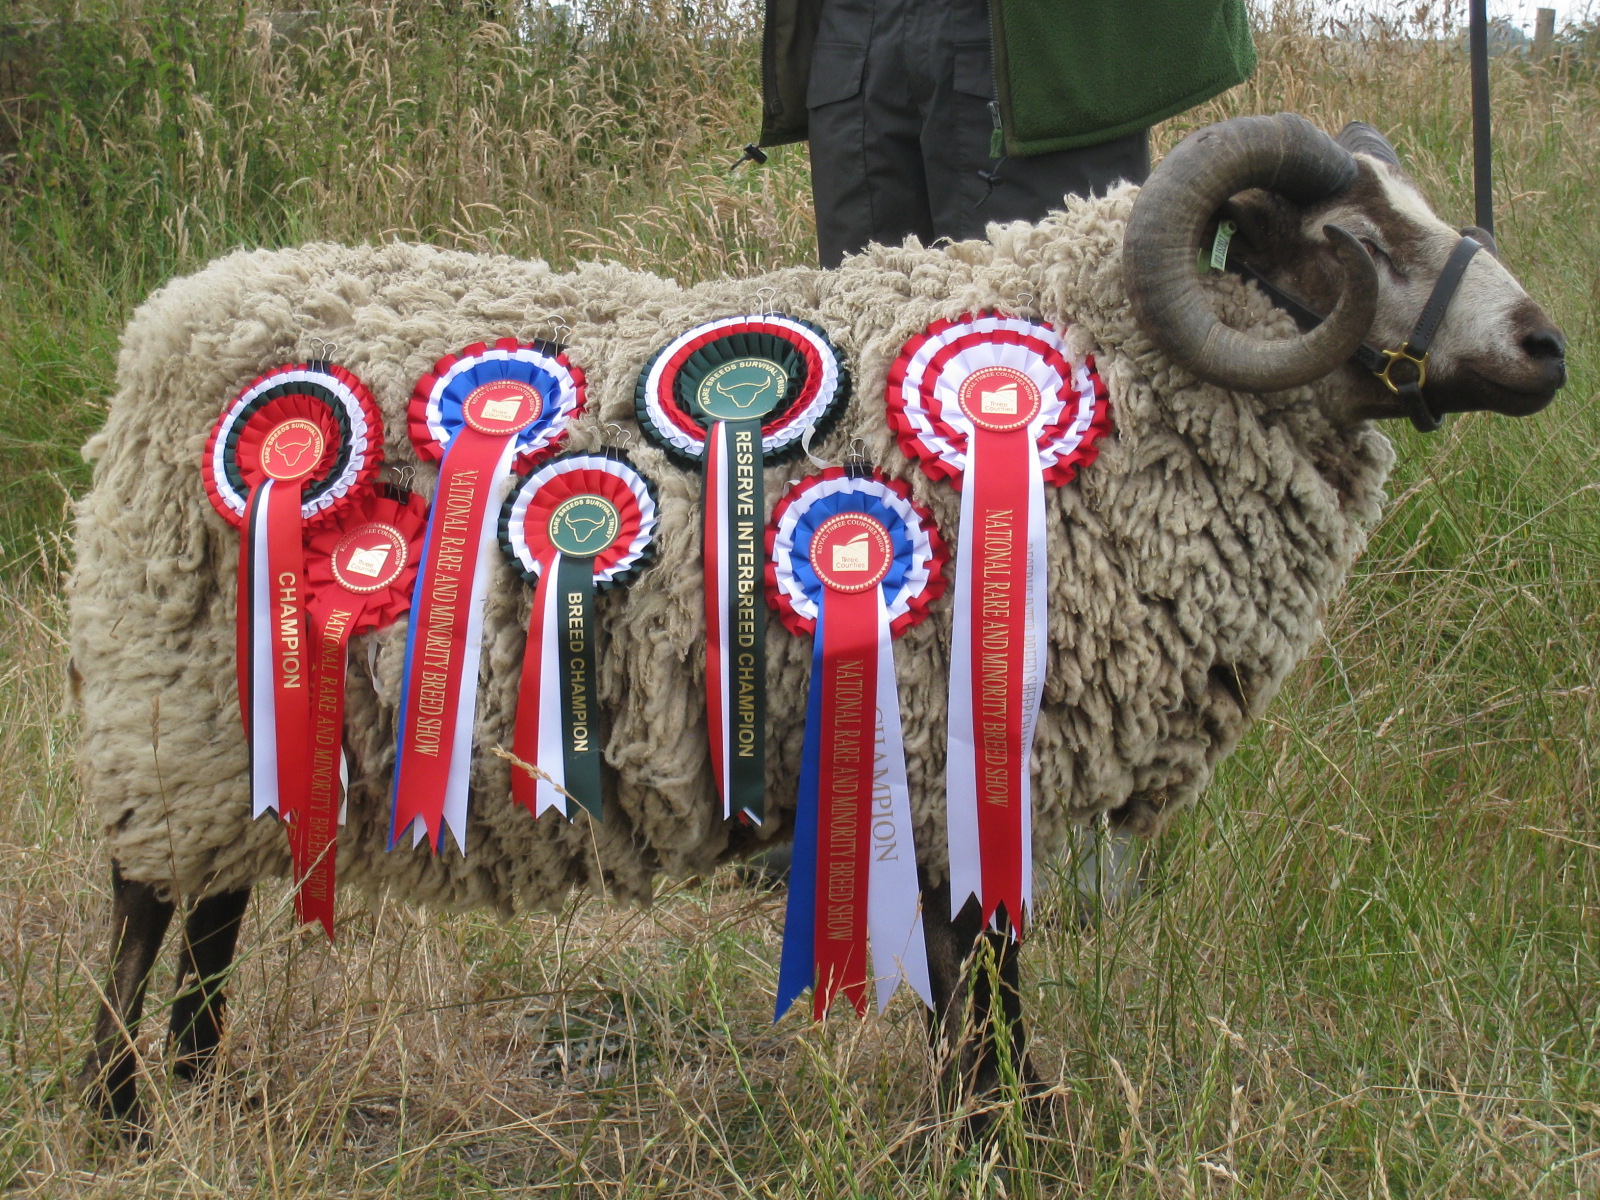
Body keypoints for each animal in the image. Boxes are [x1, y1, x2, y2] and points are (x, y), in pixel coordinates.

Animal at [75, 115, 1561, 1139]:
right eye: (1354, 239)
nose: (1547, 349)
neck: (1094, 381)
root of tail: (172, 314)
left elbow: (985, 981)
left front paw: (1008, 1132)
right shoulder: (945, 747)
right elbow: (980, 985)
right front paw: (1000, 1142)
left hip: (256, 709)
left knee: (220, 899)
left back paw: (197, 1090)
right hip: (177, 685)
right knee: (151, 899)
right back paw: (116, 1111)